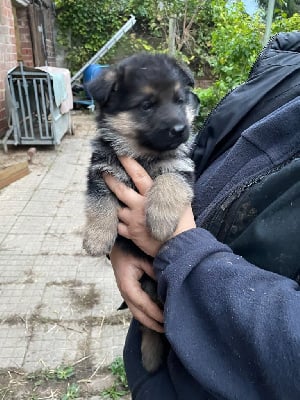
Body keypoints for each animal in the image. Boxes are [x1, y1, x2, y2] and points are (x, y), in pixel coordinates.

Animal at [82, 52, 199, 372]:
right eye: (147, 105)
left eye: (179, 100)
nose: (180, 130)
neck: (143, 155)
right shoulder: (102, 171)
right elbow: (99, 204)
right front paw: (97, 239)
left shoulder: (181, 168)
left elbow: (168, 182)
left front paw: (159, 222)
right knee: (150, 326)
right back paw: (150, 356)